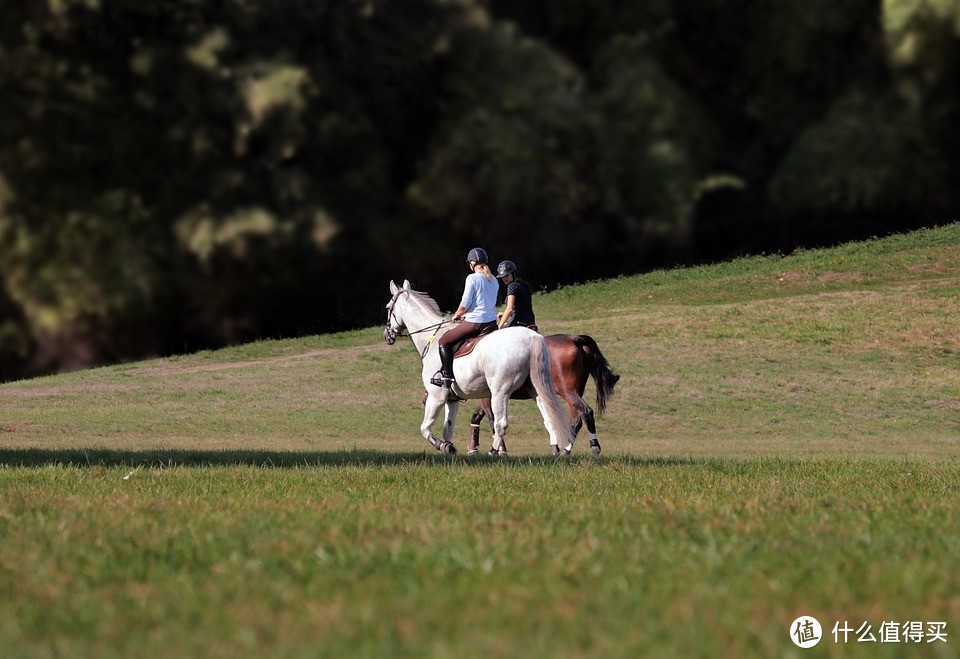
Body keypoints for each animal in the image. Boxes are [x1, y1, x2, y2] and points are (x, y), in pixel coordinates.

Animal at [384, 278, 576, 454]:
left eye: (388, 307)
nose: (387, 335)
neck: (431, 338)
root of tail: (531, 337)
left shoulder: (436, 397)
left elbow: (425, 428)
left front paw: (441, 445)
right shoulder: (452, 399)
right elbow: (448, 429)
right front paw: (449, 447)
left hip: (500, 392)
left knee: (500, 423)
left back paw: (493, 452)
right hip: (535, 389)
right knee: (549, 418)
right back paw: (555, 451)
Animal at [466, 336, 620, 458]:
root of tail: (574, 339)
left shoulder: (489, 397)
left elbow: (492, 420)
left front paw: (498, 450)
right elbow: (477, 417)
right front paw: (474, 448)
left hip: (568, 392)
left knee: (586, 412)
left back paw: (591, 446)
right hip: (575, 392)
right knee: (576, 419)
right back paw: (565, 450)